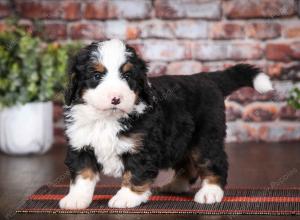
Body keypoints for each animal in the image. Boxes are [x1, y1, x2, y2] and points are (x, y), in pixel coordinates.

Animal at [59, 39, 274, 210]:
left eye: (127, 76)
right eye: (96, 76)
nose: (116, 99)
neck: (107, 119)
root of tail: (206, 78)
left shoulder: (142, 147)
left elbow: (135, 173)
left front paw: (126, 197)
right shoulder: (81, 145)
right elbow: (82, 175)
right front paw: (76, 199)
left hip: (205, 137)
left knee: (214, 161)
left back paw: (210, 192)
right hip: (181, 139)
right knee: (188, 166)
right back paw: (175, 185)